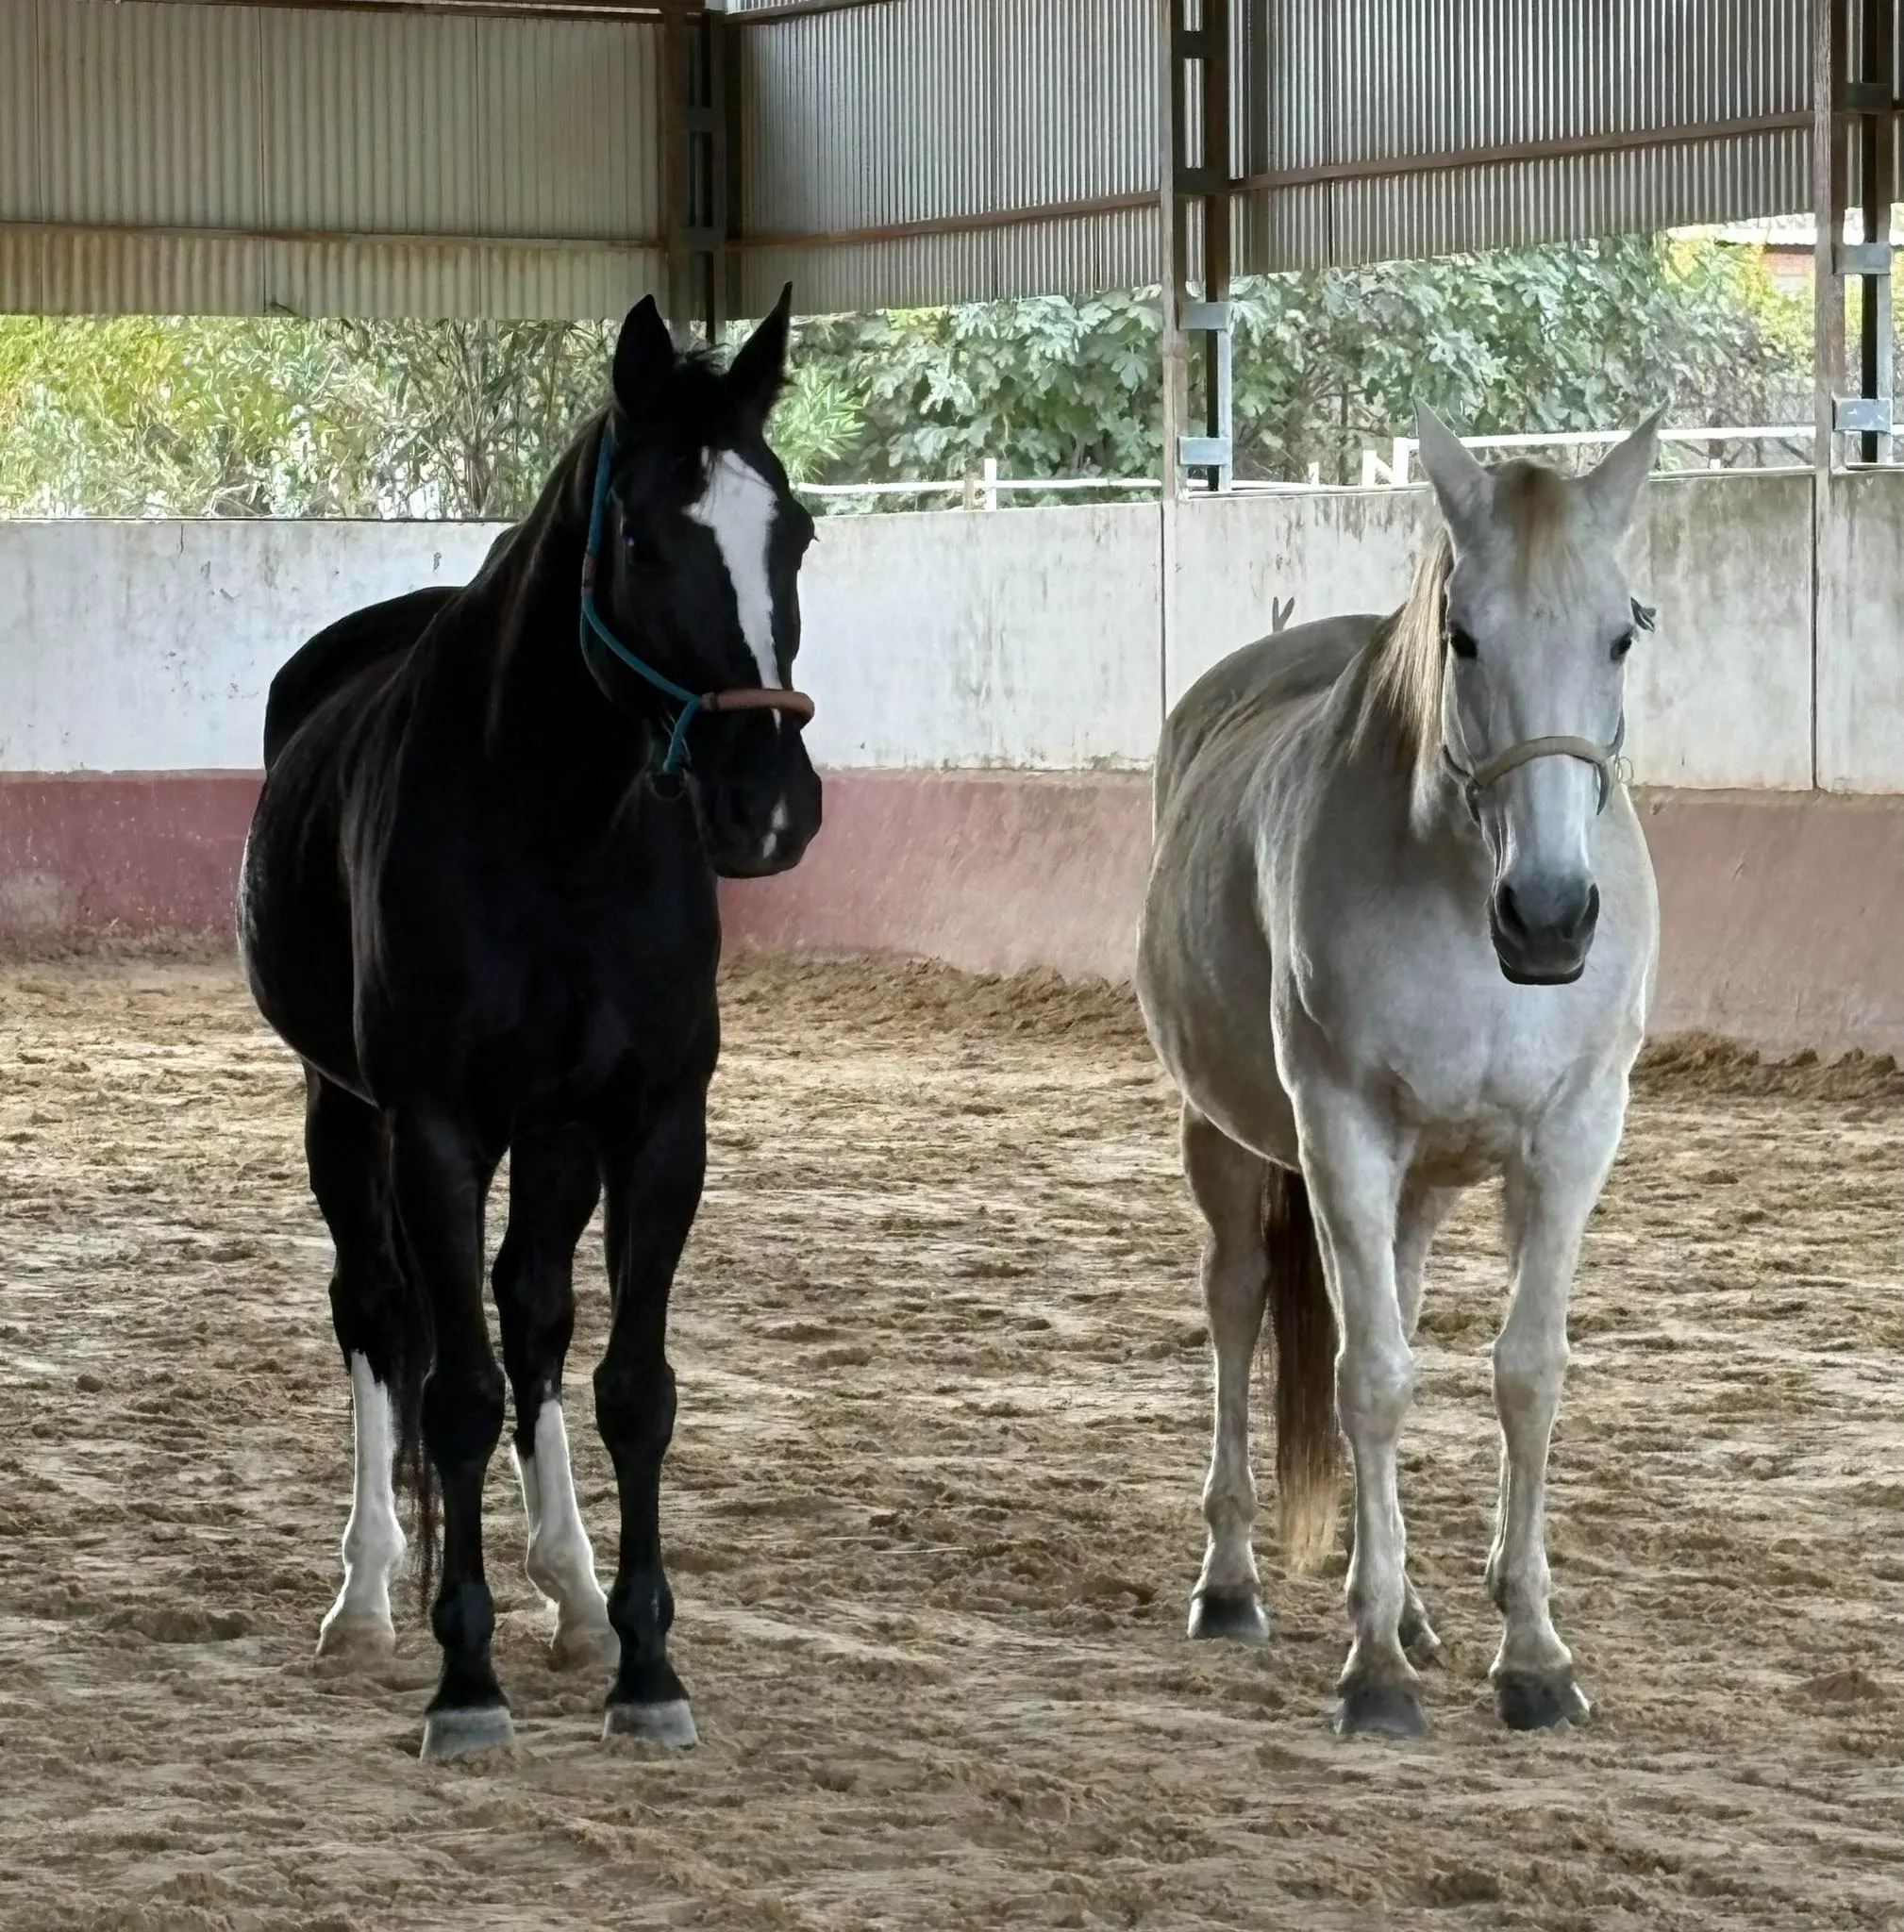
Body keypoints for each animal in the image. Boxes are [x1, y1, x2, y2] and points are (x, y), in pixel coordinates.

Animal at [239, 289, 823, 1760]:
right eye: (642, 536)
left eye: (792, 529)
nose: (769, 808)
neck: (559, 826)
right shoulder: (438, 1127)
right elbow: (451, 1393)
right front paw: (465, 1683)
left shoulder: (652, 1127)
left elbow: (628, 1385)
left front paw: (646, 1667)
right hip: (347, 1117)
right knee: (380, 1313)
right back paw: (368, 1596)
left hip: (552, 1139)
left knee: (531, 1316)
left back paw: (571, 1590)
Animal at [1136, 409, 1662, 1737]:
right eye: (1461, 635)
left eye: (1620, 630)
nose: (1549, 917)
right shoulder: (1341, 1134)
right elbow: (1366, 1378)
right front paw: (1370, 1665)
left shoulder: (1574, 1138)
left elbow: (1525, 1372)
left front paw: (1530, 1652)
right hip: (1225, 1139)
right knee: (1236, 1305)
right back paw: (1233, 1582)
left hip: (1418, 1184)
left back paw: (1417, 1606)